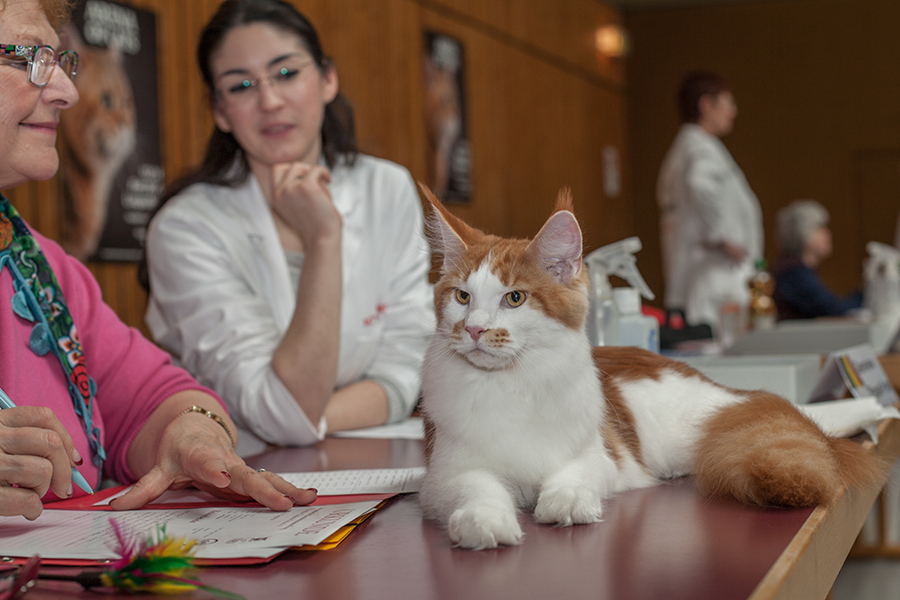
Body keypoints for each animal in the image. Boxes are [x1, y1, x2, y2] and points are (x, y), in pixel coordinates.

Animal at [417, 185, 885, 550]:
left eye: (514, 298)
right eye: (462, 297)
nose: (474, 329)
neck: (510, 383)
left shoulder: (601, 455)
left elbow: (573, 474)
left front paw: (566, 500)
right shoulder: (444, 473)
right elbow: (478, 487)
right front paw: (484, 520)